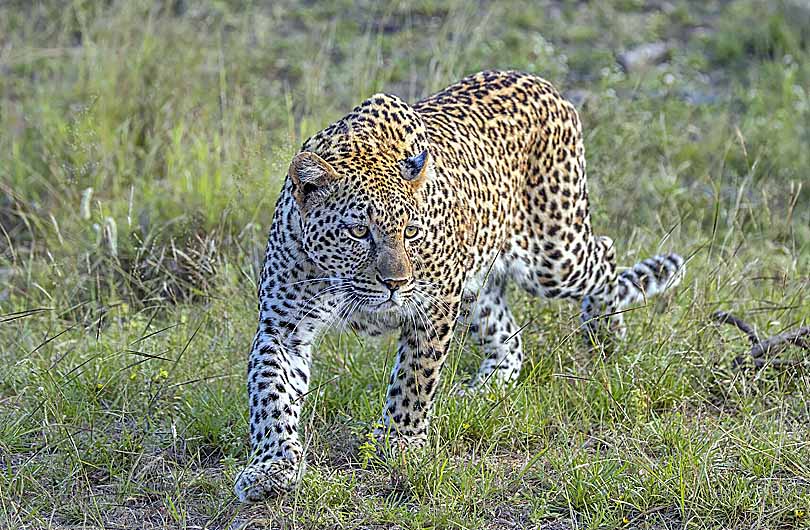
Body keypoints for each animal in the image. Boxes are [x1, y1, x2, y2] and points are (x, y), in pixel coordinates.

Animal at [234, 70, 686, 502]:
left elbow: (414, 379)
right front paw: (272, 467)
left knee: (605, 251)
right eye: (359, 231)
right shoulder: (283, 327)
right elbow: (271, 394)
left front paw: (399, 441)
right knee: (510, 341)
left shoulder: (433, 305)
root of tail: (544, 84)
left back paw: (604, 331)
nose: (396, 283)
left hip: (553, 256)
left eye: (412, 232)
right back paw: (481, 391)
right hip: (479, 286)